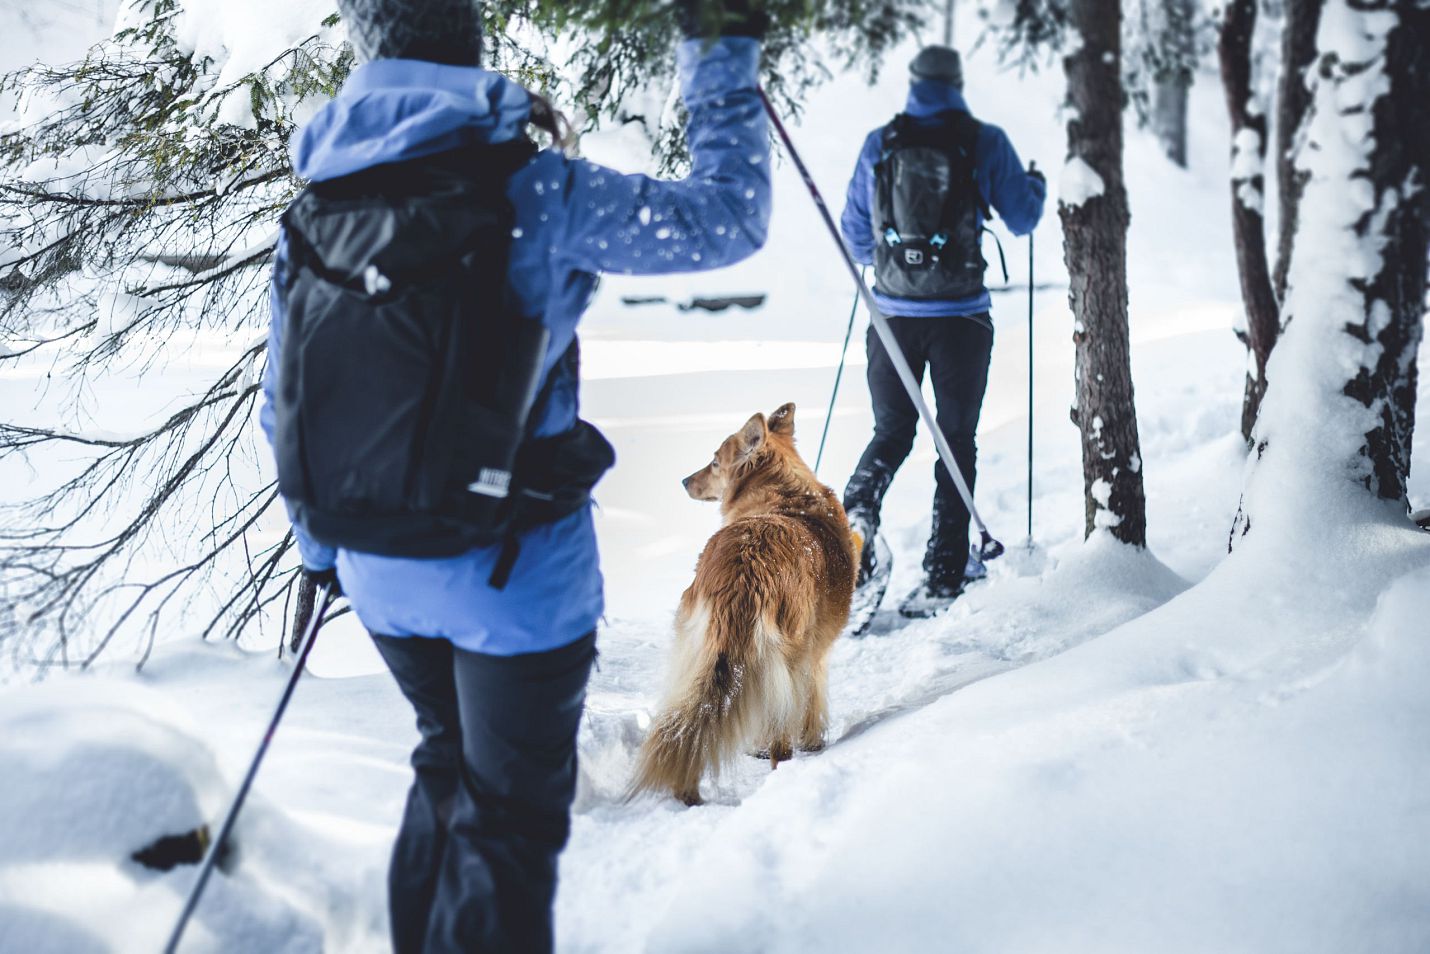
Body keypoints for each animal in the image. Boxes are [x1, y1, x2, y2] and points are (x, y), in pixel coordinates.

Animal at [629, 403, 852, 806]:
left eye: (715, 462)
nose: (684, 481)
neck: (786, 498)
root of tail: (745, 569)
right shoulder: (814, 658)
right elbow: (812, 705)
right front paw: (811, 742)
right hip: (786, 660)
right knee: (780, 737)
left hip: (697, 653)